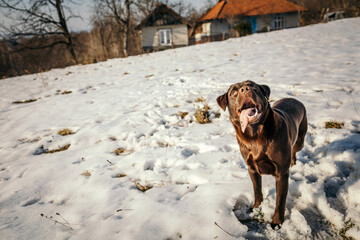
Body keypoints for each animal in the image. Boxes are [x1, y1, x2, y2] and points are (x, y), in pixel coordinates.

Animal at [217, 80, 306, 229]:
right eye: (233, 92)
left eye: (253, 86)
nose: (245, 89)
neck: (255, 135)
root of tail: (293, 99)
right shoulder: (252, 168)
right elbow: (257, 190)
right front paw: (256, 207)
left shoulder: (282, 173)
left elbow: (280, 201)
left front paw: (277, 222)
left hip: (300, 140)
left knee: (295, 148)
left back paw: (293, 162)